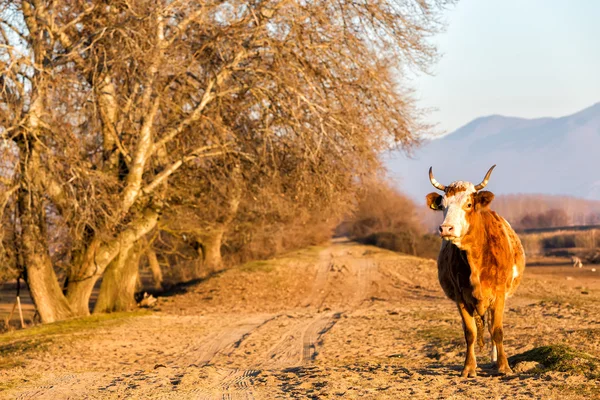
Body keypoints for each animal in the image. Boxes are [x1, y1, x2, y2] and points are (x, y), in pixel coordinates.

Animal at [426, 164, 524, 376]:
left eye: (469, 204)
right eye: (443, 206)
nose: (446, 229)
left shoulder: (499, 294)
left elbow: (497, 331)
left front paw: (504, 366)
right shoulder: (460, 297)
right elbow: (469, 333)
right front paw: (469, 367)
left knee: (491, 326)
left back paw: (495, 359)